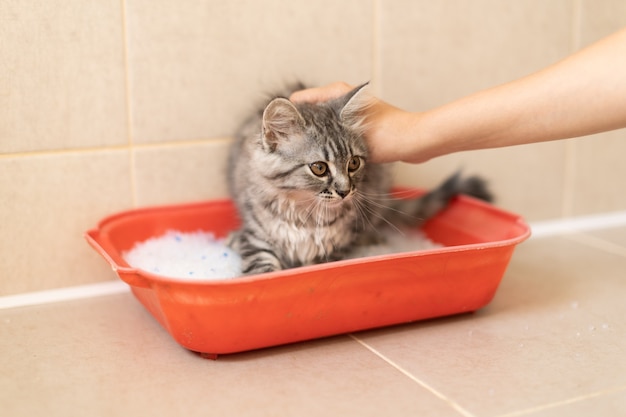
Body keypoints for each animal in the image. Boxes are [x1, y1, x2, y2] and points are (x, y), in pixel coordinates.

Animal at [227, 83, 490, 274]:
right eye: (319, 168)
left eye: (353, 163)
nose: (345, 191)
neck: (306, 216)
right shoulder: (258, 237)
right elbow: (262, 270)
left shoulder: (336, 246)